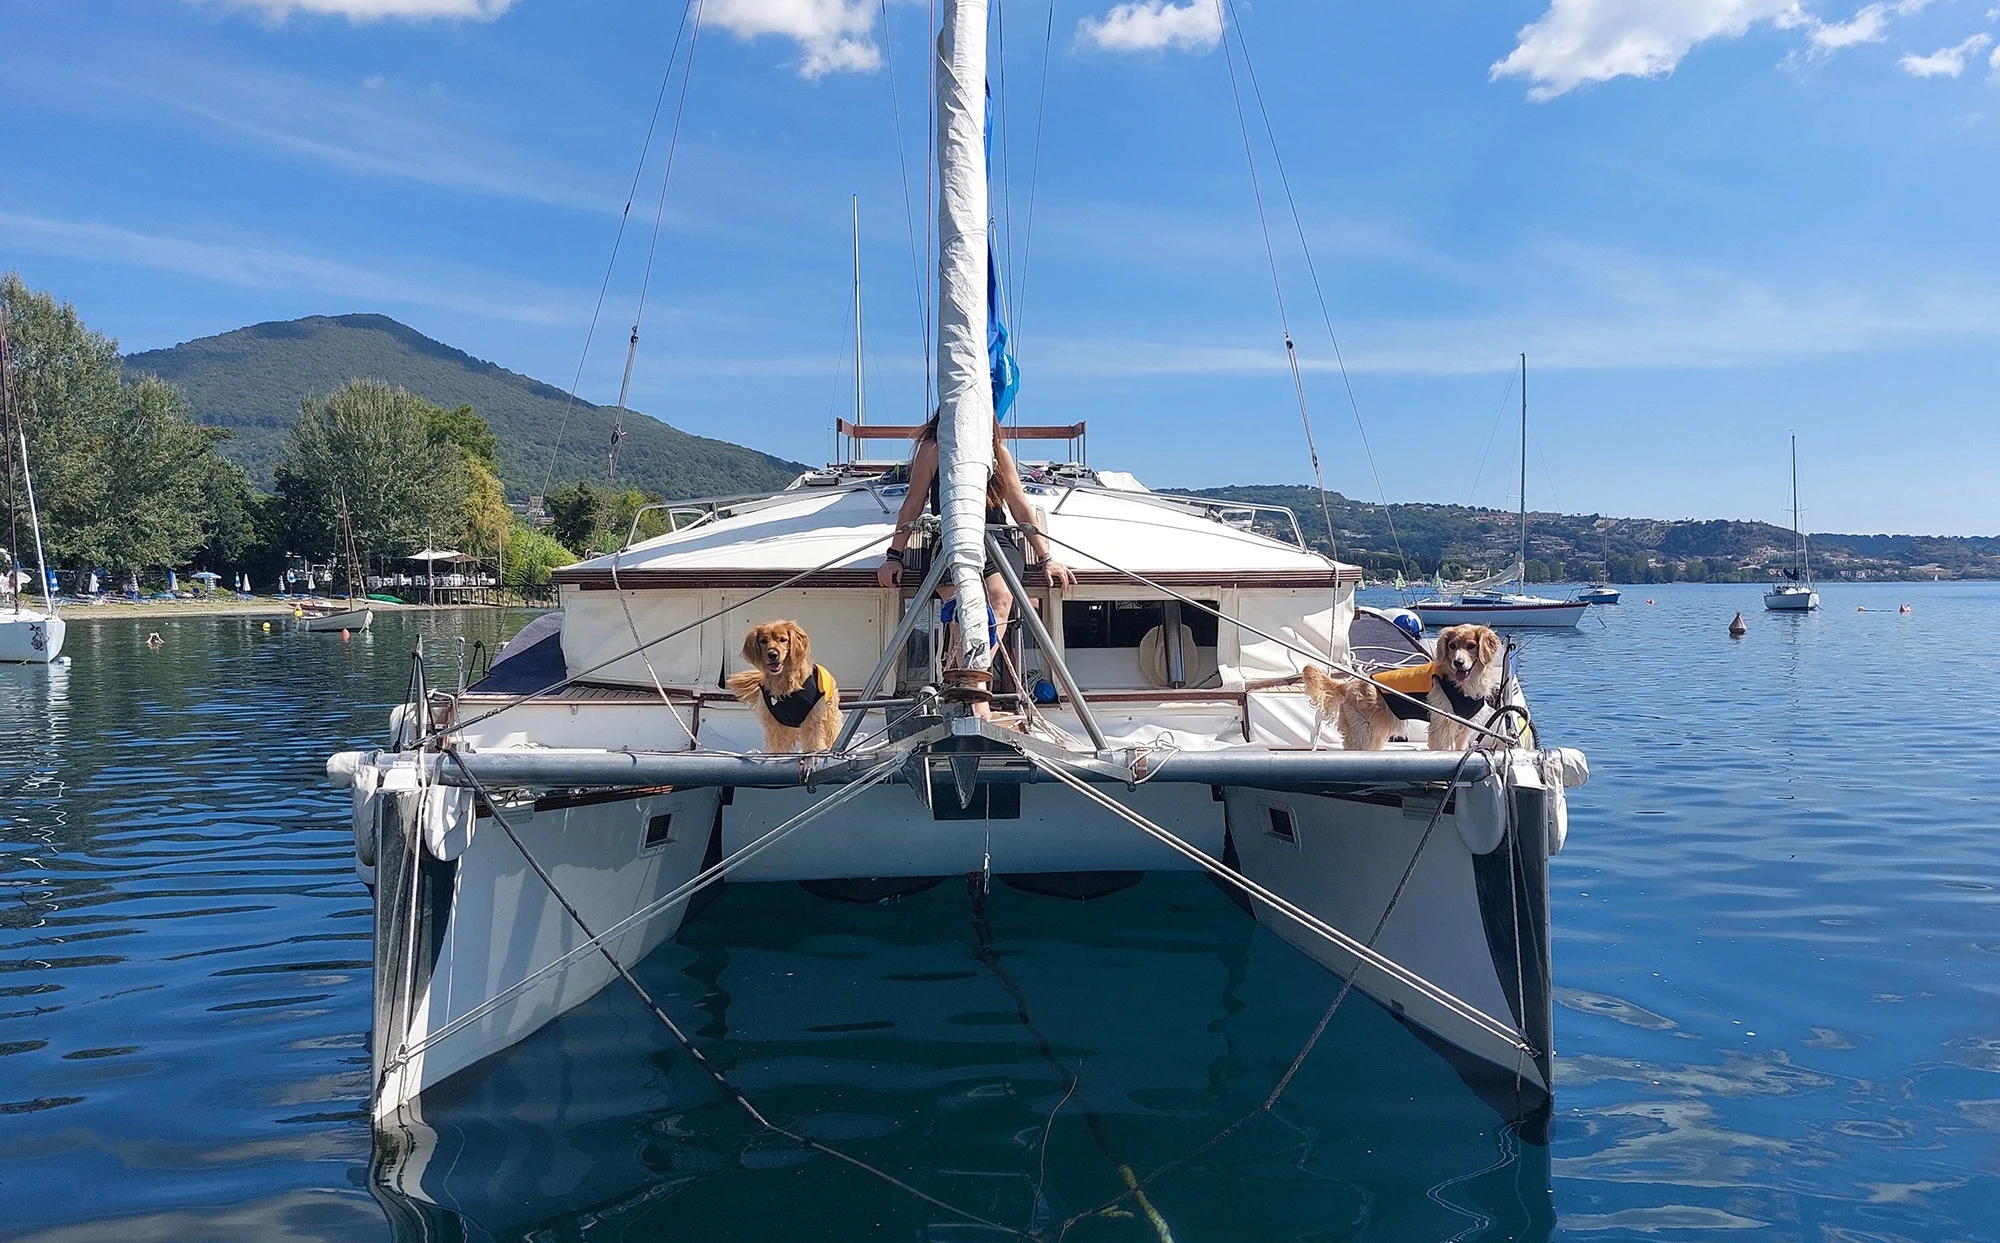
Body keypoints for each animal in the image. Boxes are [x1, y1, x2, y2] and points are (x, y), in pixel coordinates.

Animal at [724, 619, 840, 755]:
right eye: (763, 641)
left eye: (783, 640)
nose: (772, 654)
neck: (784, 683)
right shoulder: (775, 726)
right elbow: (777, 748)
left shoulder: (812, 722)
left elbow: (814, 745)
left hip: (830, 719)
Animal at [1304, 627, 1504, 755]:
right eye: (1452, 646)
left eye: (1471, 645)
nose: (1458, 662)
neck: (1461, 684)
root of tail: (1349, 684)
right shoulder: (1443, 723)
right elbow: (1442, 747)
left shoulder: (1465, 726)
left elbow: (1460, 748)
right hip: (1362, 732)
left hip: (1375, 733)